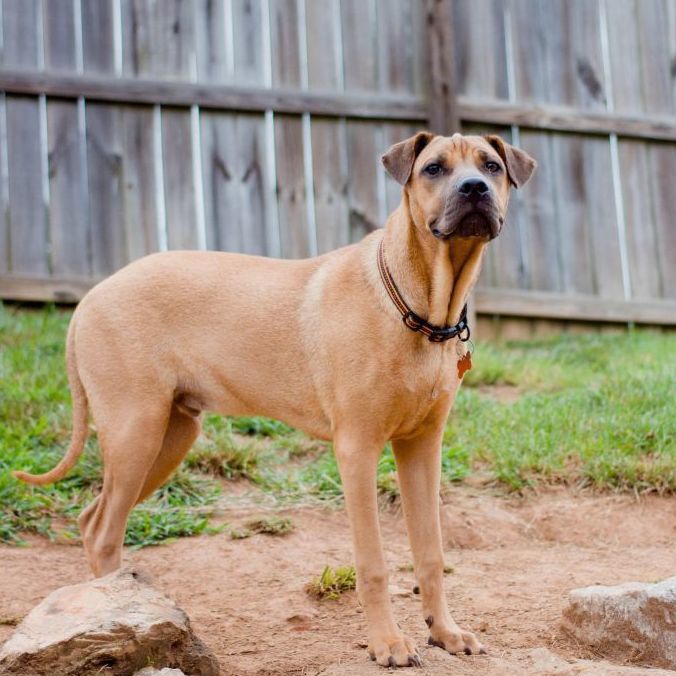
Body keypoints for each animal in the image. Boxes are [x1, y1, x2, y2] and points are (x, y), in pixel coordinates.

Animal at [13, 131, 536, 664]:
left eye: (491, 166)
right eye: (433, 169)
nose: (474, 189)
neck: (421, 306)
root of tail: (89, 298)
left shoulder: (422, 447)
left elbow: (431, 553)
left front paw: (445, 632)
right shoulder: (357, 450)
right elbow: (373, 564)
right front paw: (387, 642)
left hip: (168, 438)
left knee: (91, 519)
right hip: (134, 431)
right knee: (103, 530)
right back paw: (117, 614)